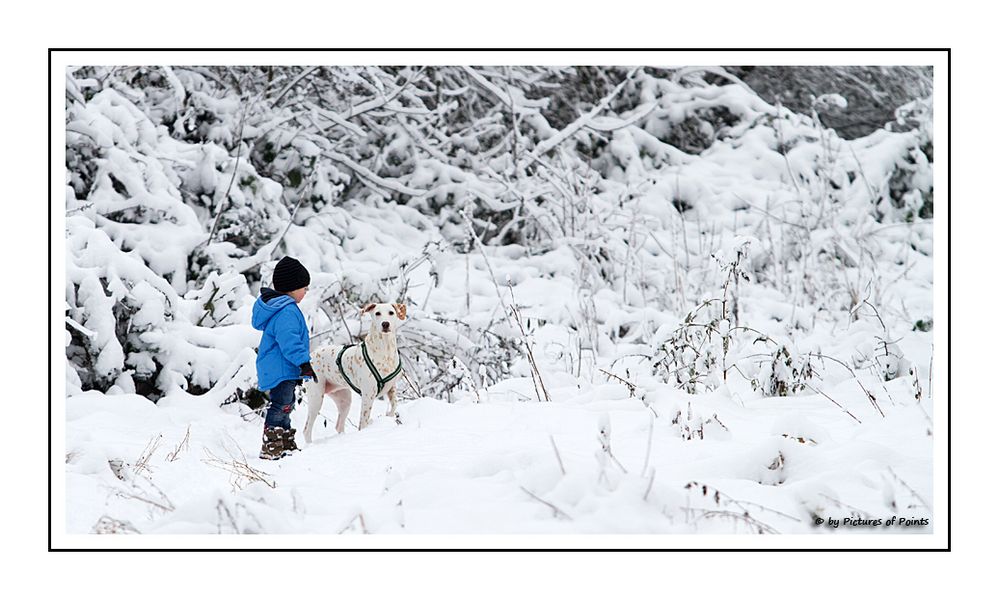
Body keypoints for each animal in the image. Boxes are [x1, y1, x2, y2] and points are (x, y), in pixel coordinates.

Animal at [300, 304, 406, 440]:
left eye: (391, 313)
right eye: (377, 313)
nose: (385, 324)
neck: (385, 350)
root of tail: (311, 355)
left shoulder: (392, 388)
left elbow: (394, 405)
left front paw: (389, 415)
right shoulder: (368, 395)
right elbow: (363, 423)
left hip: (344, 399)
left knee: (339, 426)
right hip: (316, 398)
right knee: (307, 430)